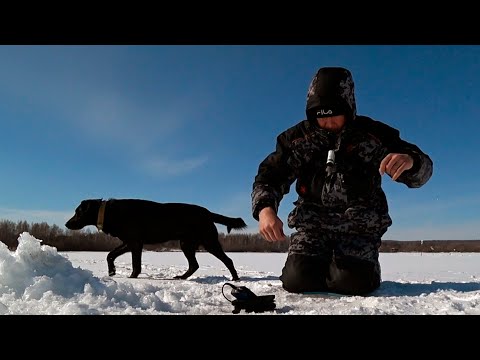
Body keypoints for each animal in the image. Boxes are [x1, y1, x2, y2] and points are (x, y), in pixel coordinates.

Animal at [65, 200, 246, 282]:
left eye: (78, 212)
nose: (66, 224)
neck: (111, 212)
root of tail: (208, 212)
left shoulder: (135, 243)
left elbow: (135, 264)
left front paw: (131, 277)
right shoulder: (129, 242)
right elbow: (110, 255)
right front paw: (112, 271)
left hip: (208, 241)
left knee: (227, 260)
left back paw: (235, 279)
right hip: (186, 243)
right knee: (194, 265)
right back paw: (181, 277)